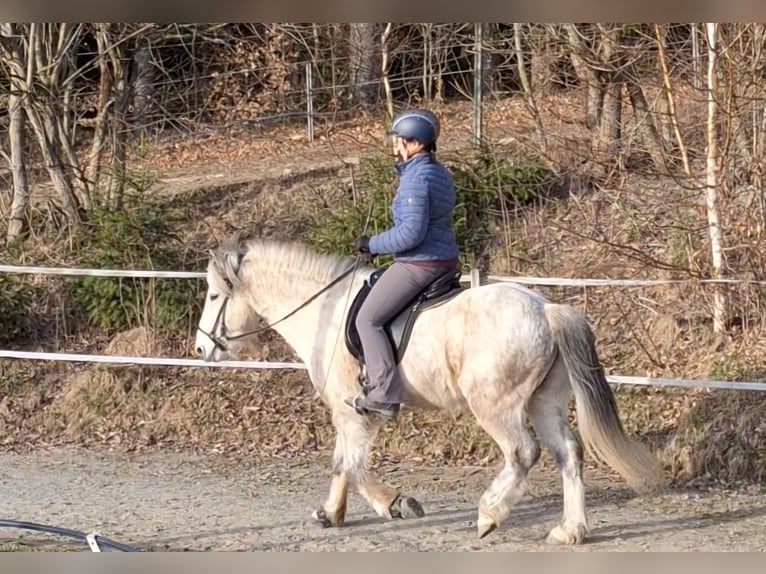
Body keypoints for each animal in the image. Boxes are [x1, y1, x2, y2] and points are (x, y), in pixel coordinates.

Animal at [194, 232, 664, 545]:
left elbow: (352, 465)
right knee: (568, 454)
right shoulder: (348, 413)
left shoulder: (353, 411)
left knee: (521, 453)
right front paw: (331, 513)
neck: (325, 312)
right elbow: (341, 463)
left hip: (496, 405)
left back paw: (489, 514)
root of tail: (546, 309)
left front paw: (394, 504)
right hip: (542, 402)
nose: (200, 348)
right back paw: (570, 530)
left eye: (215, 296)